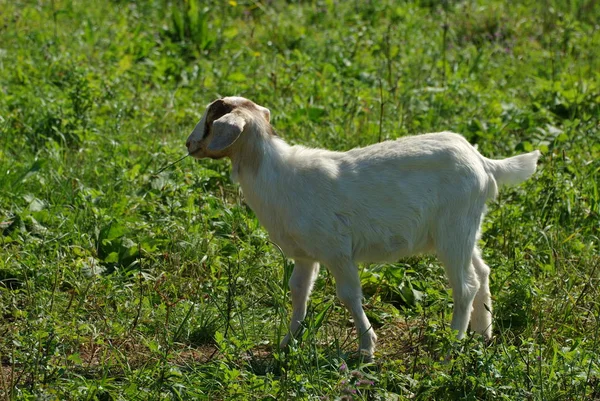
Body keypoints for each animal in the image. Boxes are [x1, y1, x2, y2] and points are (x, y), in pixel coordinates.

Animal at [185, 96, 540, 360]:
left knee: (465, 285)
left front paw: (367, 348)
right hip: (464, 229)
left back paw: (451, 346)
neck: (276, 174)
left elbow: (349, 295)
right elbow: (298, 291)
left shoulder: (337, 250)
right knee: (482, 272)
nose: (188, 144)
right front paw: (288, 343)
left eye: (210, 120)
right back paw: (483, 333)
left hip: (454, 230)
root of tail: (483, 162)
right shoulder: (305, 255)